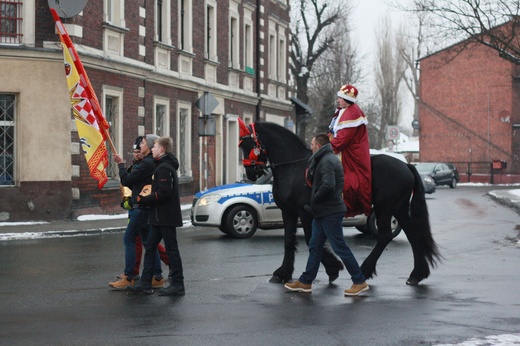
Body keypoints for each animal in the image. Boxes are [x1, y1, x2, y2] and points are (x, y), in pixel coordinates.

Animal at [239, 120, 438, 286]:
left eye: (247, 145)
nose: (250, 173)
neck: (293, 168)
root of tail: (407, 166)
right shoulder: (288, 211)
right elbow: (289, 241)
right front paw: (282, 273)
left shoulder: (305, 212)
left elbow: (311, 239)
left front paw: (333, 267)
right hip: (400, 208)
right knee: (413, 234)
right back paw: (416, 274)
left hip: (385, 208)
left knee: (384, 236)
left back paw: (365, 270)